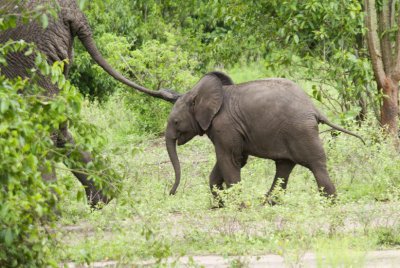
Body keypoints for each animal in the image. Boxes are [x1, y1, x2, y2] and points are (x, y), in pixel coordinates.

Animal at [164, 71, 364, 203]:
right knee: (284, 166)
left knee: (315, 164)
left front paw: (238, 207)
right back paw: (268, 203)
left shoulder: (225, 126)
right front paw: (220, 205)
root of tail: (314, 109)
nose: (171, 193)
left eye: (175, 122)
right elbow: (236, 159)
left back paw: (329, 203)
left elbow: (229, 159)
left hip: (300, 131)